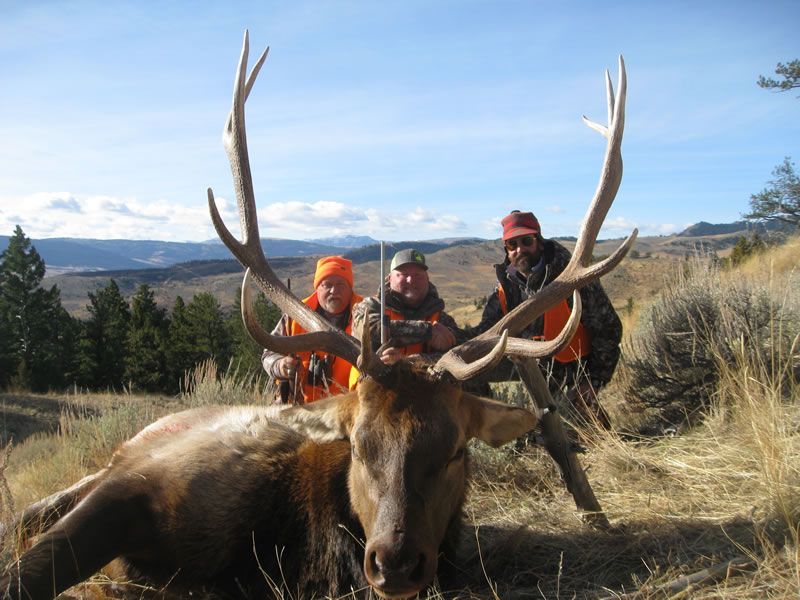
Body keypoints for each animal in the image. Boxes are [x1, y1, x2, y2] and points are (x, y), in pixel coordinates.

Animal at [0, 31, 634, 600]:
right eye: (356, 445)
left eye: (458, 450)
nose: (396, 562)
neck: (289, 542)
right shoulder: (134, 484)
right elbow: (27, 571)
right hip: (118, 457)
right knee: (32, 511)